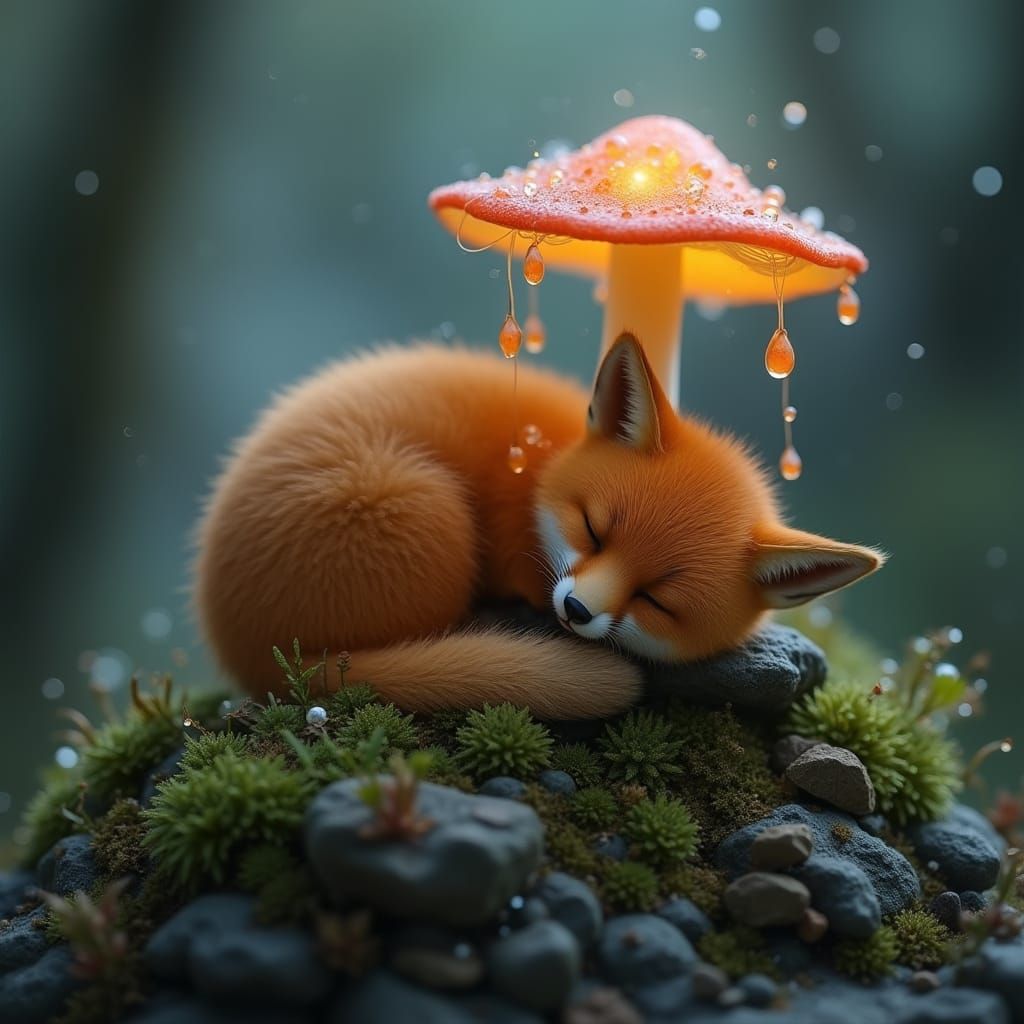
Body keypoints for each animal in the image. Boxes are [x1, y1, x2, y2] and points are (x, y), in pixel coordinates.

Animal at [193, 333, 884, 720]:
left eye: (657, 600)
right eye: (594, 530)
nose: (575, 610)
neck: (538, 468)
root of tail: (244, 647)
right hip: (434, 518)